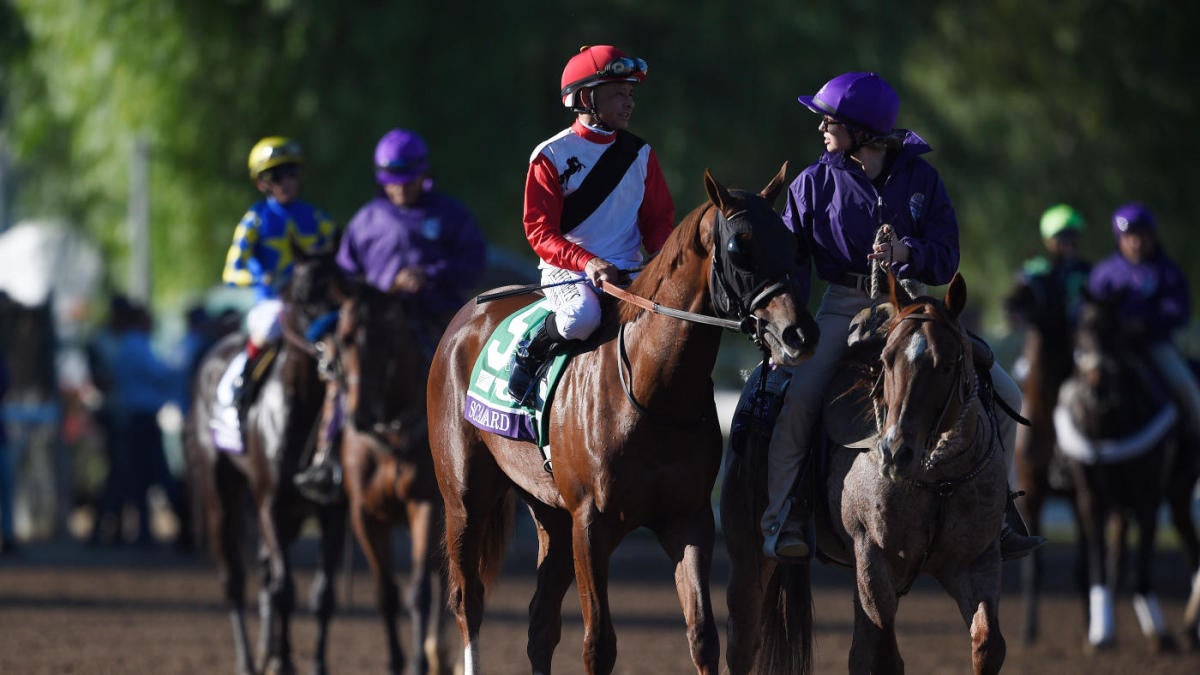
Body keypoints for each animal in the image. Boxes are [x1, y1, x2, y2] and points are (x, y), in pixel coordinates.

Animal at [184, 245, 347, 675]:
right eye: (303, 296)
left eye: (344, 292)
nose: (339, 356)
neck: (302, 407)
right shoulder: (269, 504)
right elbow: (285, 587)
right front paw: (285, 661)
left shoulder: (331, 511)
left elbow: (322, 595)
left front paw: (312, 663)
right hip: (220, 496)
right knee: (235, 579)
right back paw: (247, 659)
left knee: (262, 574)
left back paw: (266, 652)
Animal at [327, 281, 450, 675]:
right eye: (345, 338)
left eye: (388, 337)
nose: (360, 416)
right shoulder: (365, 514)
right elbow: (386, 593)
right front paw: (397, 662)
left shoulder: (425, 504)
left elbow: (419, 592)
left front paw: (417, 662)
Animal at [426, 166, 818, 674]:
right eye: (739, 247)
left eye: (791, 242)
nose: (799, 333)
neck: (654, 393)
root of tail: (463, 318)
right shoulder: (591, 524)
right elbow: (599, 645)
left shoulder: (688, 520)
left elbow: (703, 636)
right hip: (466, 497)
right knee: (467, 600)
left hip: (552, 513)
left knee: (540, 624)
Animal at [728, 272, 1011, 675]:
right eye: (886, 359)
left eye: (946, 364)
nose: (895, 452)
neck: (936, 480)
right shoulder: (873, 558)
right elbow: (885, 658)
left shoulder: (976, 561)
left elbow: (988, 644)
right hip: (748, 557)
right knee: (741, 639)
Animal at [1053, 289, 1200, 651]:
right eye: (1080, 330)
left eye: (1114, 331)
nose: (1097, 381)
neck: (1109, 425)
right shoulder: (1090, 499)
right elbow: (1099, 562)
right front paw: (1100, 632)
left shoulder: (1148, 499)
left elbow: (1142, 565)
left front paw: (1160, 633)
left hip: (1178, 494)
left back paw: (1188, 629)